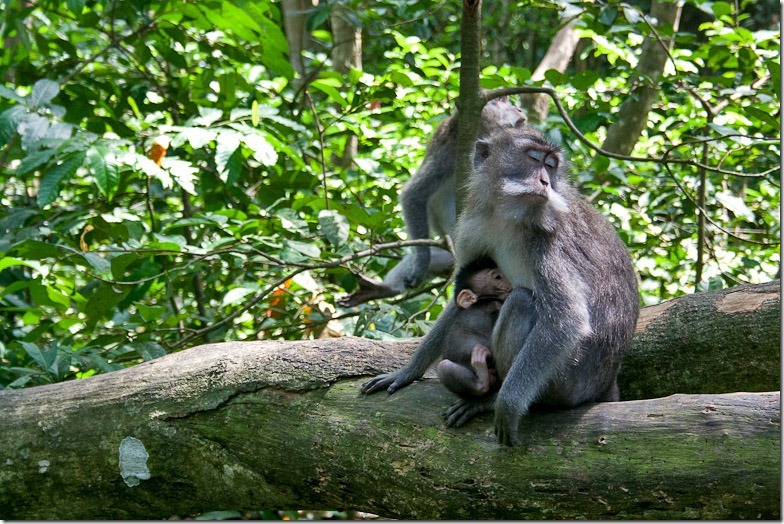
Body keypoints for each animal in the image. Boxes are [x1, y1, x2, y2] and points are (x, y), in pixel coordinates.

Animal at [338, 97, 528, 308]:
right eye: (503, 101)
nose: (519, 109)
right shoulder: (448, 152)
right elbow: (414, 194)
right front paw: (422, 262)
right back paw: (383, 288)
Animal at [364, 124, 640, 446]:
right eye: (533, 158)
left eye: (551, 165)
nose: (545, 182)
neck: (507, 216)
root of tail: (606, 384)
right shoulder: (473, 227)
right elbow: (460, 297)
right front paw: (407, 371)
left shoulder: (547, 243)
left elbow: (566, 319)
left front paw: (506, 405)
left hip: (567, 381)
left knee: (522, 302)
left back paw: (489, 398)